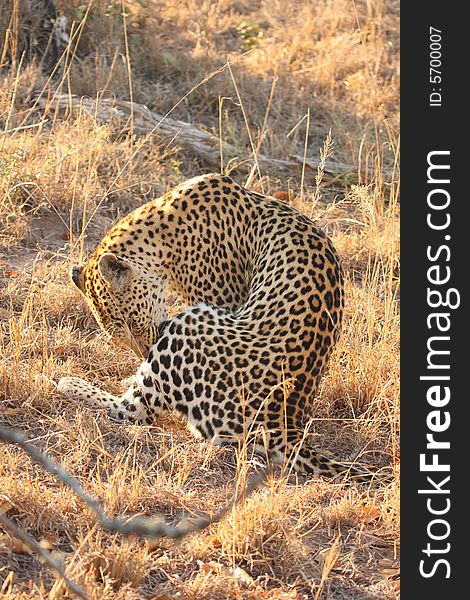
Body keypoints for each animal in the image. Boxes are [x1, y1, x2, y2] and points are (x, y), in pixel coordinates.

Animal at [58, 171, 372, 480]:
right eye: (119, 335)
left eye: (133, 323)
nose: (144, 351)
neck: (161, 235)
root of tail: (286, 424)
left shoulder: (224, 300)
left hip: (187, 325)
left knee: (134, 411)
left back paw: (71, 383)